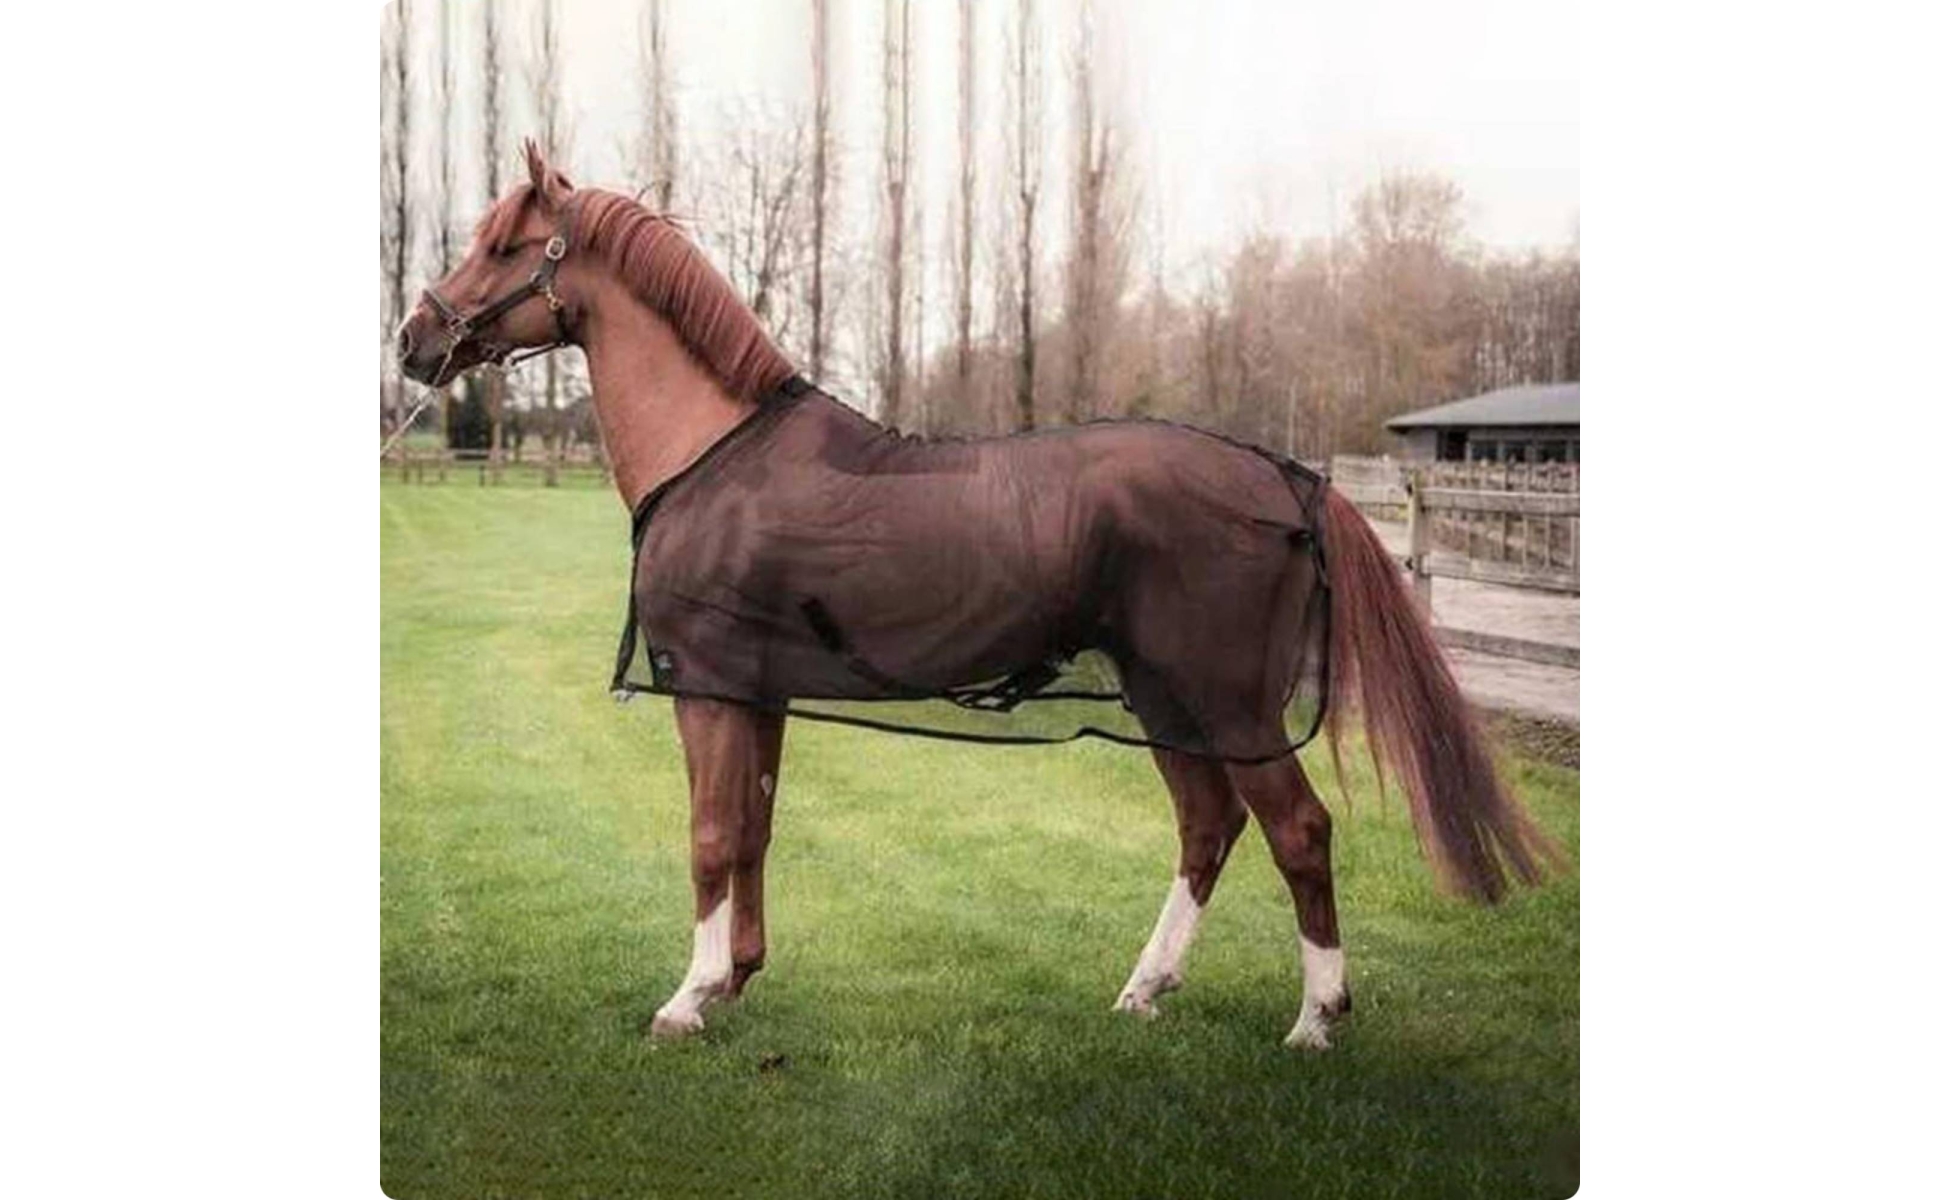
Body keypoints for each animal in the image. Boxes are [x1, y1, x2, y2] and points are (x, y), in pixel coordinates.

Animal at [398, 141, 1556, 1049]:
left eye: (504, 245)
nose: (414, 340)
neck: (716, 454)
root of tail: (1285, 475)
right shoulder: (758, 695)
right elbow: (755, 830)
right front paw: (735, 980)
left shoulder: (710, 689)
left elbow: (712, 838)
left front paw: (686, 999)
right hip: (1164, 698)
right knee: (1208, 827)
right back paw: (1144, 990)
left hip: (1226, 703)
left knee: (1299, 833)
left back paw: (1315, 1018)